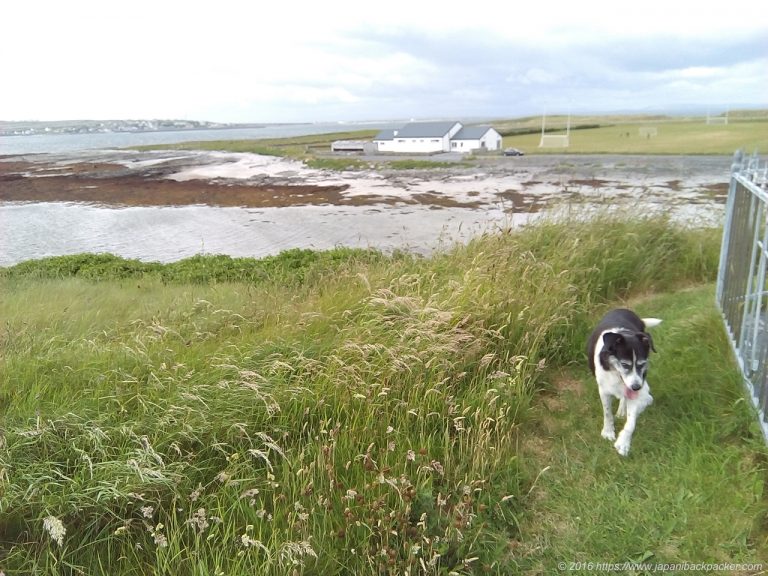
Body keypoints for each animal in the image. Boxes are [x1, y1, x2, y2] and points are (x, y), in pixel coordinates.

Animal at [588, 308, 660, 456]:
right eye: (624, 364)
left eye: (642, 364)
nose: (636, 387)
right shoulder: (604, 390)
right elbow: (607, 413)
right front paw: (608, 431)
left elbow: (631, 422)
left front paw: (623, 442)